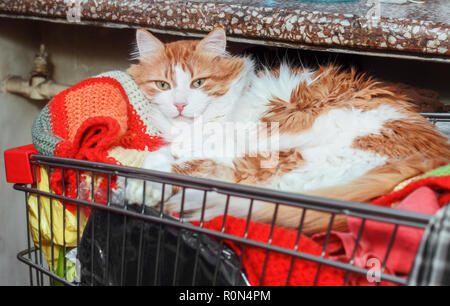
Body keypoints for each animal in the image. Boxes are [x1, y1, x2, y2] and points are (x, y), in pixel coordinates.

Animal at [125, 27, 450, 233]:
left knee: (212, 178)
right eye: (163, 85)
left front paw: (142, 183)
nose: (180, 105)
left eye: (198, 83)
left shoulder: (225, 143)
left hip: (277, 159)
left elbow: (171, 163)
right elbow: (159, 154)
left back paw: (144, 192)